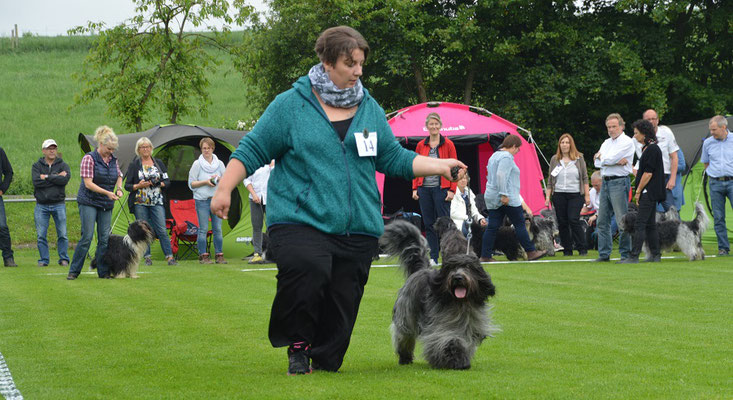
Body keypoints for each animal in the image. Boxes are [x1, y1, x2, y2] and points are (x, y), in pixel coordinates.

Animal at [380, 220, 494, 370]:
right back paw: (405, 357)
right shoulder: (439, 326)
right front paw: (453, 358)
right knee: (404, 335)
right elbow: (447, 340)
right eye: (451, 268)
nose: (458, 277)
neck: (460, 303)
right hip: (406, 312)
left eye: (468, 267)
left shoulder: (470, 324)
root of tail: (420, 270)